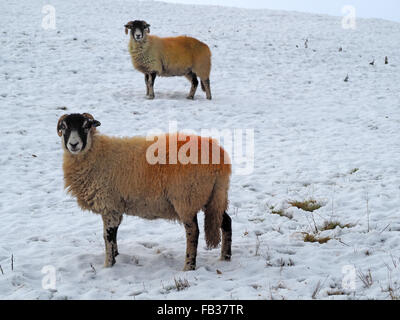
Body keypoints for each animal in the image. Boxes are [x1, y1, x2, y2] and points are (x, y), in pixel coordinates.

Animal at [56, 112, 231, 270]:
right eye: (64, 127)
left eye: (86, 126)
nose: (73, 144)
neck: (96, 153)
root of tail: (220, 160)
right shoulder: (116, 207)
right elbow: (114, 235)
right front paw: (116, 256)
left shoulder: (109, 205)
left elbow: (108, 236)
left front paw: (108, 265)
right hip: (214, 197)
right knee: (225, 222)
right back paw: (225, 257)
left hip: (186, 198)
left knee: (193, 232)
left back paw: (189, 266)